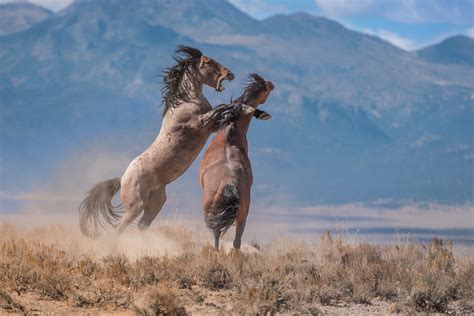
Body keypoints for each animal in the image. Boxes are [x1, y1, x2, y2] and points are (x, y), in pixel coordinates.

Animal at [199, 73, 274, 249]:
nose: (270, 83)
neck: (229, 135)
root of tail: (230, 184)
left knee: (218, 238)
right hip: (242, 215)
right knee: (235, 242)